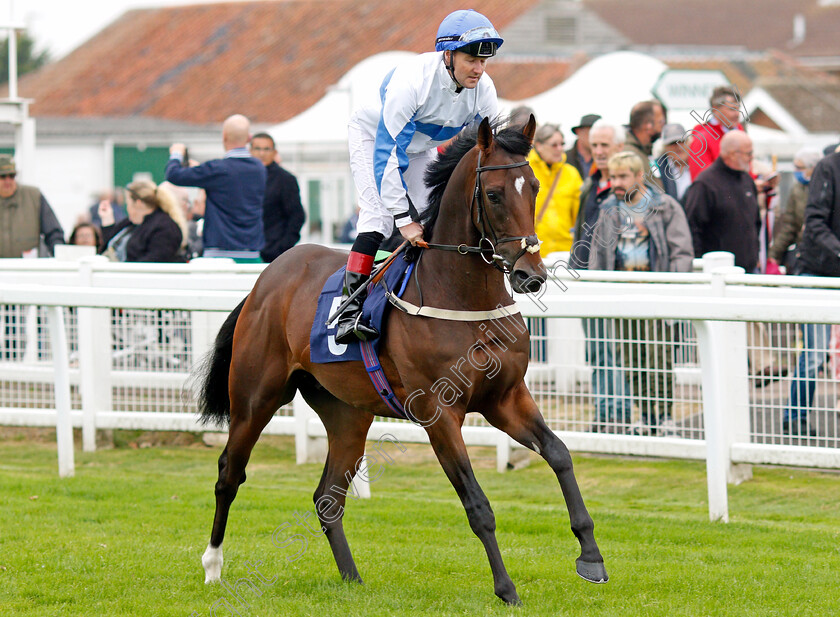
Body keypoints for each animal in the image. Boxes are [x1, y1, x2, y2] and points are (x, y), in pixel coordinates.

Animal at [195, 115, 604, 600]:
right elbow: (478, 503)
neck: (464, 297)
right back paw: (212, 566)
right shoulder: (439, 413)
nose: (530, 275)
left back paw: (352, 579)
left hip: (347, 414)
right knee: (229, 473)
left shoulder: (505, 398)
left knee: (327, 498)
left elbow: (559, 454)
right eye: (493, 194)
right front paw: (506, 589)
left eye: (536, 187)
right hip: (255, 398)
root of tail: (266, 278)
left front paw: (591, 556)